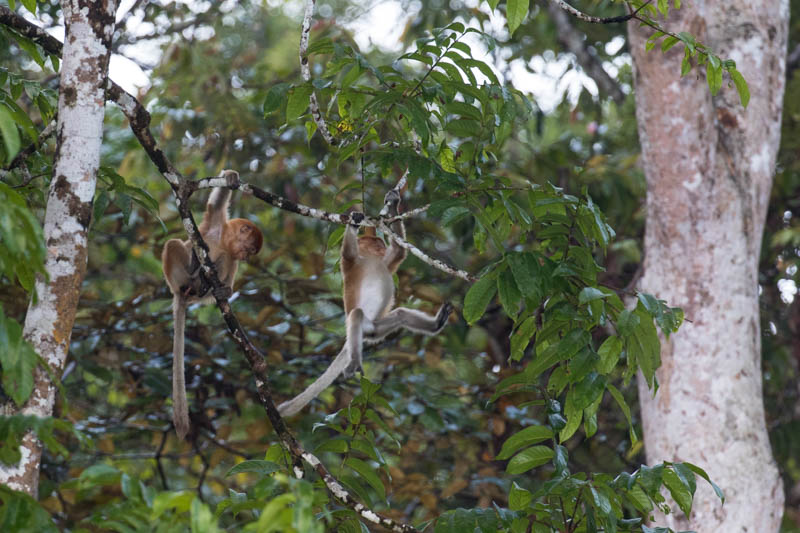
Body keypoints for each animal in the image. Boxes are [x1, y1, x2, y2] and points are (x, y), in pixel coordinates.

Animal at [161, 169, 264, 436]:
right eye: (250, 248)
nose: (245, 256)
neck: (223, 239)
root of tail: (183, 296)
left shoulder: (230, 252)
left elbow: (229, 267)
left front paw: (224, 289)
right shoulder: (215, 223)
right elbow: (215, 204)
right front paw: (230, 178)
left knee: (224, 263)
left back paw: (208, 285)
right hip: (177, 280)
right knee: (174, 245)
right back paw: (193, 269)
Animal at [276, 188, 450, 416]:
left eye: (380, 245)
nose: (379, 246)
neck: (371, 259)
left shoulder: (385, 262)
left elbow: (399, 252)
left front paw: (393, 204)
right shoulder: (351, 264)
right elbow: (348, 254)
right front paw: (354, 223)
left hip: (376, 329)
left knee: (400, 315)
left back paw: (436, 323)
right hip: (366, 325)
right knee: (356, 314)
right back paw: (354, 363)